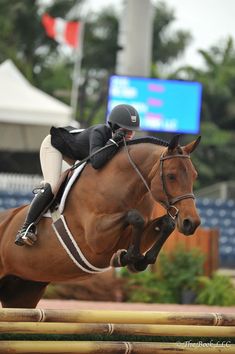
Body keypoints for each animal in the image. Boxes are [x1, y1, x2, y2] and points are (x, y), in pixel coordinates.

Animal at [0, 135, 200, 306]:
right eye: (171, 175)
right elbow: (135, 217)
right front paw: (128, 257)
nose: (191, 223)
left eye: (194, 175)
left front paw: (137, 260)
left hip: (24, 291)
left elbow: (166, 224)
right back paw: (25, 234)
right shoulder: (96, 238)